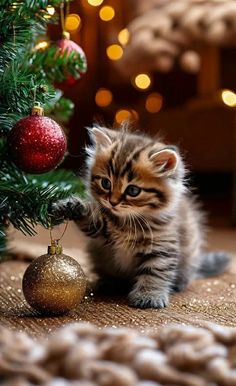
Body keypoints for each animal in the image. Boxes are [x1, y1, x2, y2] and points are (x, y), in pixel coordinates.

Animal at [52, 128, 230, 310]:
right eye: (106, 183)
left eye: (133, 191)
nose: (113, 203)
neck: (127, 222)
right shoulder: (100, 228)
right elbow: (90, 220)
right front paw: (71, 206)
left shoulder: (162, 245)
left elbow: (155, 272)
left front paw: (149, 296)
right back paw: (110, 283)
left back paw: (178, 284)